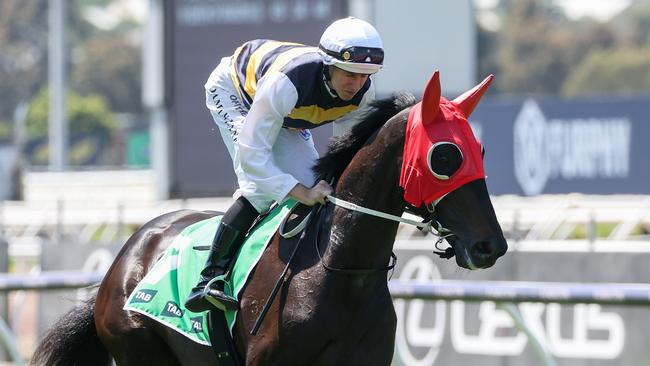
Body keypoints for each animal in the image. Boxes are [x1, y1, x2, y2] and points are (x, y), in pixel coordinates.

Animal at [31, 70, 506, 364]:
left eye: (481, 150)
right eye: (444, 157)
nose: (491, 246)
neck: (338, 270)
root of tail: (125, 258)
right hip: (138, 347)